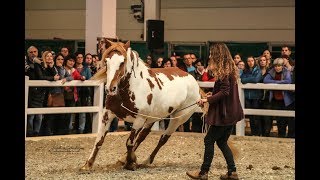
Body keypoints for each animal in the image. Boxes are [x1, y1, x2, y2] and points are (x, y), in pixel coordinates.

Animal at [79, 40, 234, 172]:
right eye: (106, 61)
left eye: (122, 62)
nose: (110, 88)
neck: (130, 90)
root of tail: (193, 81)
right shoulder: (107, 114)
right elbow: (99, 140)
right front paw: (88, 164)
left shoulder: (139, 119)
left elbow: (129, 142)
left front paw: (130, 163)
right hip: (154, 117)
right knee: (143, 136)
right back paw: (125, 159)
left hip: (177, 119)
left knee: (163, 139)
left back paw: (146, 160)